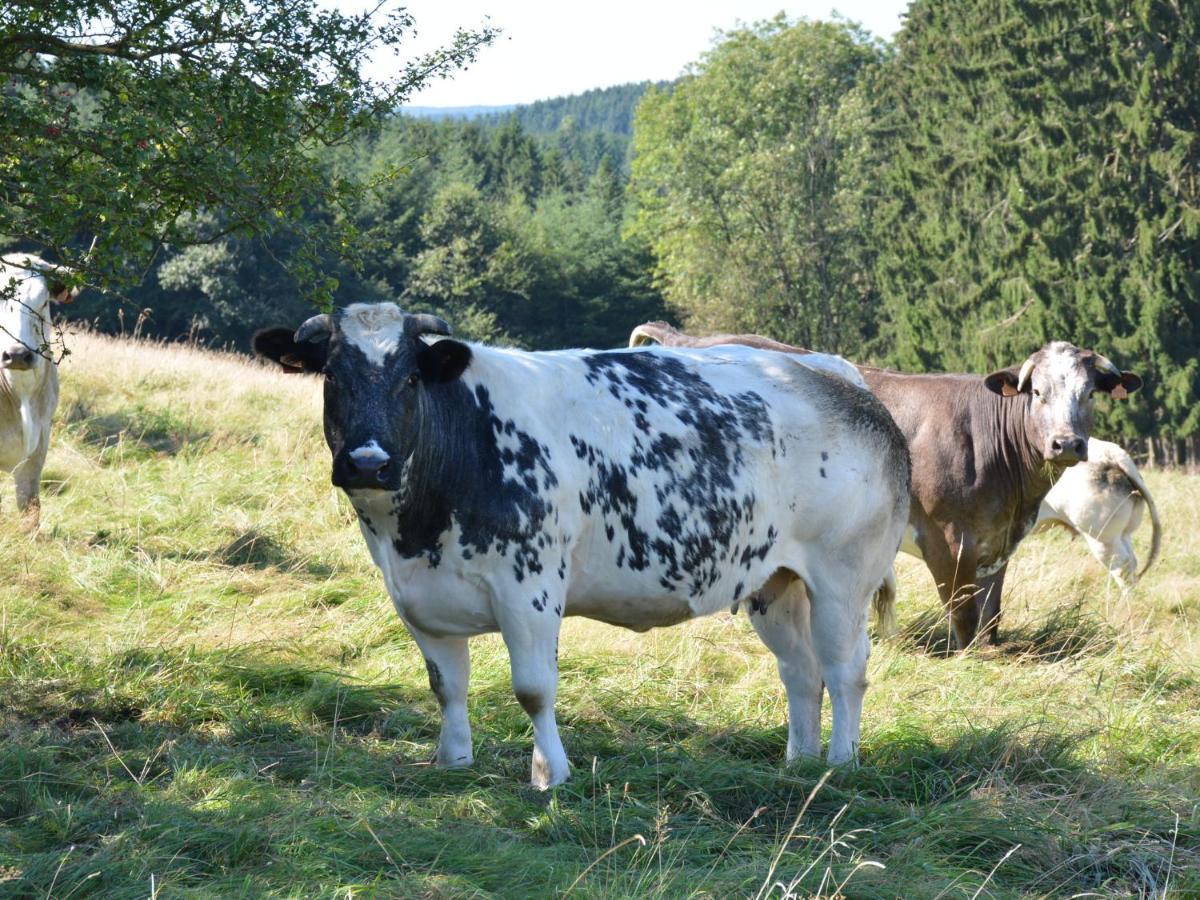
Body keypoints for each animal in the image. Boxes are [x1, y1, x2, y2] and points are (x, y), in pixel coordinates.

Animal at [253, 304, 907, 787]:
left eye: (410, 377)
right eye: (332, 376)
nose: (368, 462)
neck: (414, 530)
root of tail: (834, 373)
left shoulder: (530, 590)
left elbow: (533, 689)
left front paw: (551, 774)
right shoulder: (415, 598)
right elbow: (447, 686)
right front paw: (453, 762)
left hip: (843, 579)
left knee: (846, 670)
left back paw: (841, 764)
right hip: (774, 582)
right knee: (801, 670)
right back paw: (799, 764)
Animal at [633, 324, 1137, 648]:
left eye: (1089, 393)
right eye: (1037, 392)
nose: (1066, 443)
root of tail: (691, 340)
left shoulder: (998, 544)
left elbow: (991, 616)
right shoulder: (948, 541)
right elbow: (965, 619)